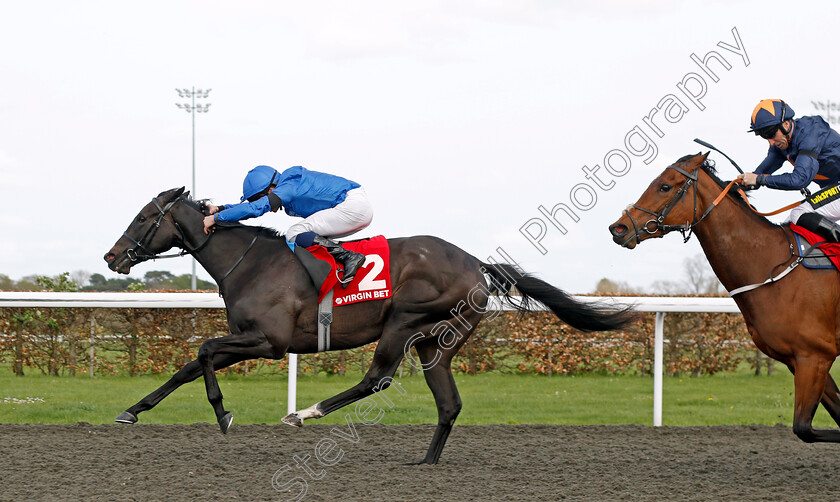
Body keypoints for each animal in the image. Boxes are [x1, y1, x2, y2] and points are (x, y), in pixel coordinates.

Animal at [103, 186, 632, 464]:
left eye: (145, 217)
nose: (112, 256)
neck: (250, 263)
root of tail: (477, 264)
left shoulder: (269, 341)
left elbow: (205, 352)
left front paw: (222, 413)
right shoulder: (249, 338)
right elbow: (189, 364)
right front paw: (131, 411)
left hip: (404, 321)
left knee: (377, 379)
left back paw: (304, 413)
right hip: (437, 344)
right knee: (448, 402)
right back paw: (426, 462)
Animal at [608, 152, 840, 444]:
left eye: (664, 186)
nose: (618, 228)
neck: (773, 264)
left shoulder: (814, 356)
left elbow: (804, 428)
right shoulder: (798, 360)